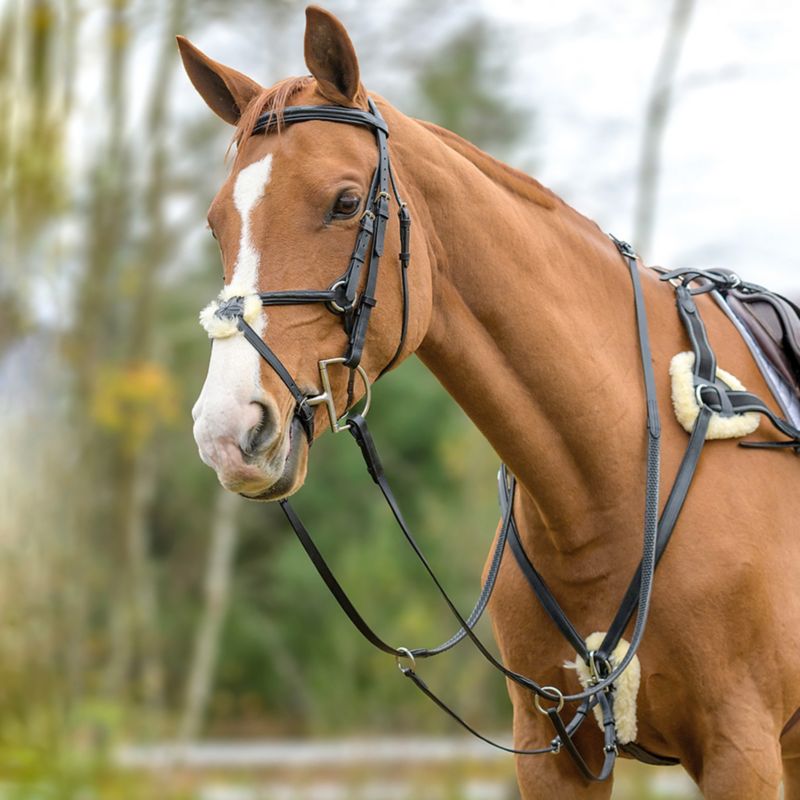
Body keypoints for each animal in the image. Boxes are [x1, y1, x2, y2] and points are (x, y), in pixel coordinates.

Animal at [180, 7, 800, 800]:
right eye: (216, 222)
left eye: (345, 203)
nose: (228, 430)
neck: (612, 483)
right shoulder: (552, 753)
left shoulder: (740, 751)